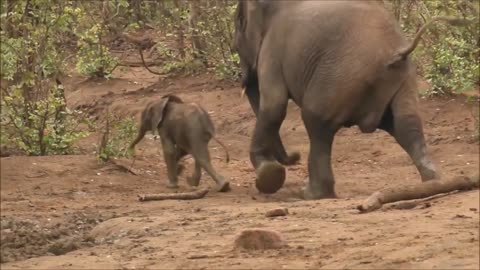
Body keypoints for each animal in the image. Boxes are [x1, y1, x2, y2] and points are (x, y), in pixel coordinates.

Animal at [232, 0, 468, 198]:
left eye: (236, 41)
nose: (294, 156)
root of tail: (397, 48)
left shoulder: (272, 49)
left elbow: (274, 105)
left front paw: (269, 176)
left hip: (341, 75)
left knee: (315, 121)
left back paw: (312, 194)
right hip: (402, 77)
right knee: (406, 125)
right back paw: (432, 183)